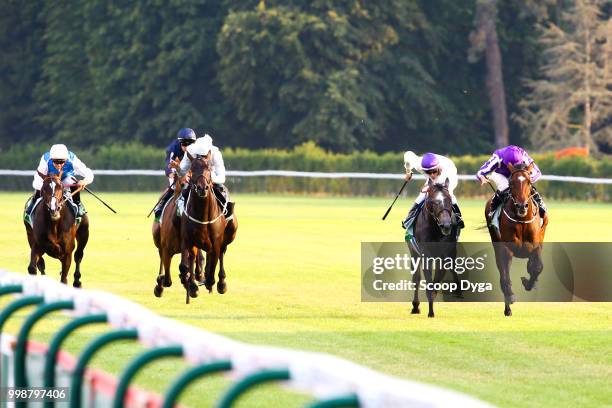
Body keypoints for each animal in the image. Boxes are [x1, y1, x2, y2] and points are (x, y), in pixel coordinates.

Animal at [177, 153, 237, 302]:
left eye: (209, 167)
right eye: (192, 168)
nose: (202, 188)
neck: (203, 214)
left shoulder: (216, 241)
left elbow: (213, 265)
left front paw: (211, 282)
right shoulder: (188, 239)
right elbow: (186, 264)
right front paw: (192, 285)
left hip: (228, 236)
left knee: (221, 254)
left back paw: (221, 283)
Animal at [488, 162, 548, 316]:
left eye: (529, 181)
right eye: (511, 182)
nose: (522, 206)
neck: (522, 220)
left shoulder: (536, 246)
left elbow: (537, 267)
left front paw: (528, 282)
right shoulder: (506, 249)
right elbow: (505, 277)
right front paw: (510, 297)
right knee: (502, 275)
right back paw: (507, 307)